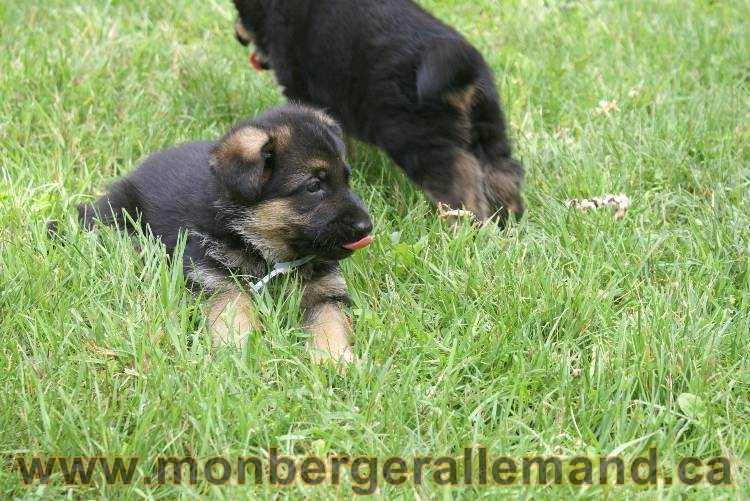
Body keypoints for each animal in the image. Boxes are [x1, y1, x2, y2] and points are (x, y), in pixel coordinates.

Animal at [71, 106, 376, 364]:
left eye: (346, 179)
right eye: (313, 186)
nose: (367, 227)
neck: (261, 248)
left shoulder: (326, 294)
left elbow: (331, 324)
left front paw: (336, 360)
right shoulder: (219, 280)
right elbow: (234, 315)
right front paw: (240, 354)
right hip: (121, 219)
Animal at [232, 0, 524, 223]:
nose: (238, 36)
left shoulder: (302, 91)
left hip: (415, 135)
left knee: (460, 180)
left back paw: (465, 226)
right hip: (487, 127)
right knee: (504, 173)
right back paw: (508, 221)